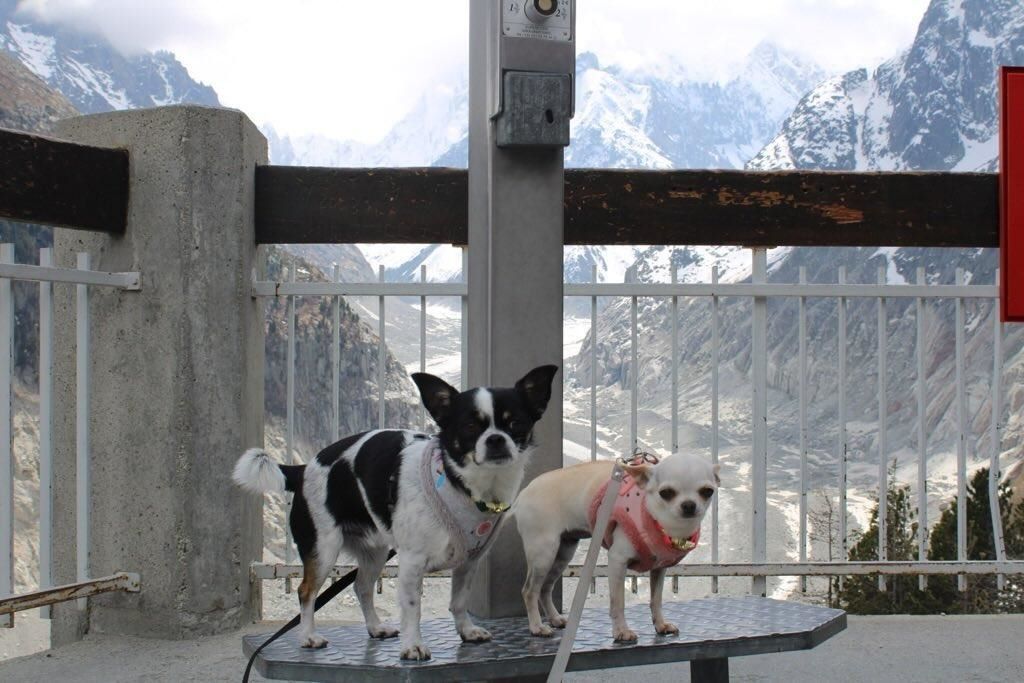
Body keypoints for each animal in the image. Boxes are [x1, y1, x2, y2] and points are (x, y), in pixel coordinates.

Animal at [233, 366, 561, 659]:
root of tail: (303, 469)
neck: (463, 485)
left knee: (362, 586)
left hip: (375, 551)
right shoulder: (413, 562)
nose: (495, 439)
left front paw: (466, 631)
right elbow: (413, 607)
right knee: (306, 591)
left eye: (515, 423)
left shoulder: (469, 561)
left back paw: (375, 628)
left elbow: (459, 600)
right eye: (470, 427)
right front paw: (413, 646)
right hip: (323, 549)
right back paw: (308, 637)